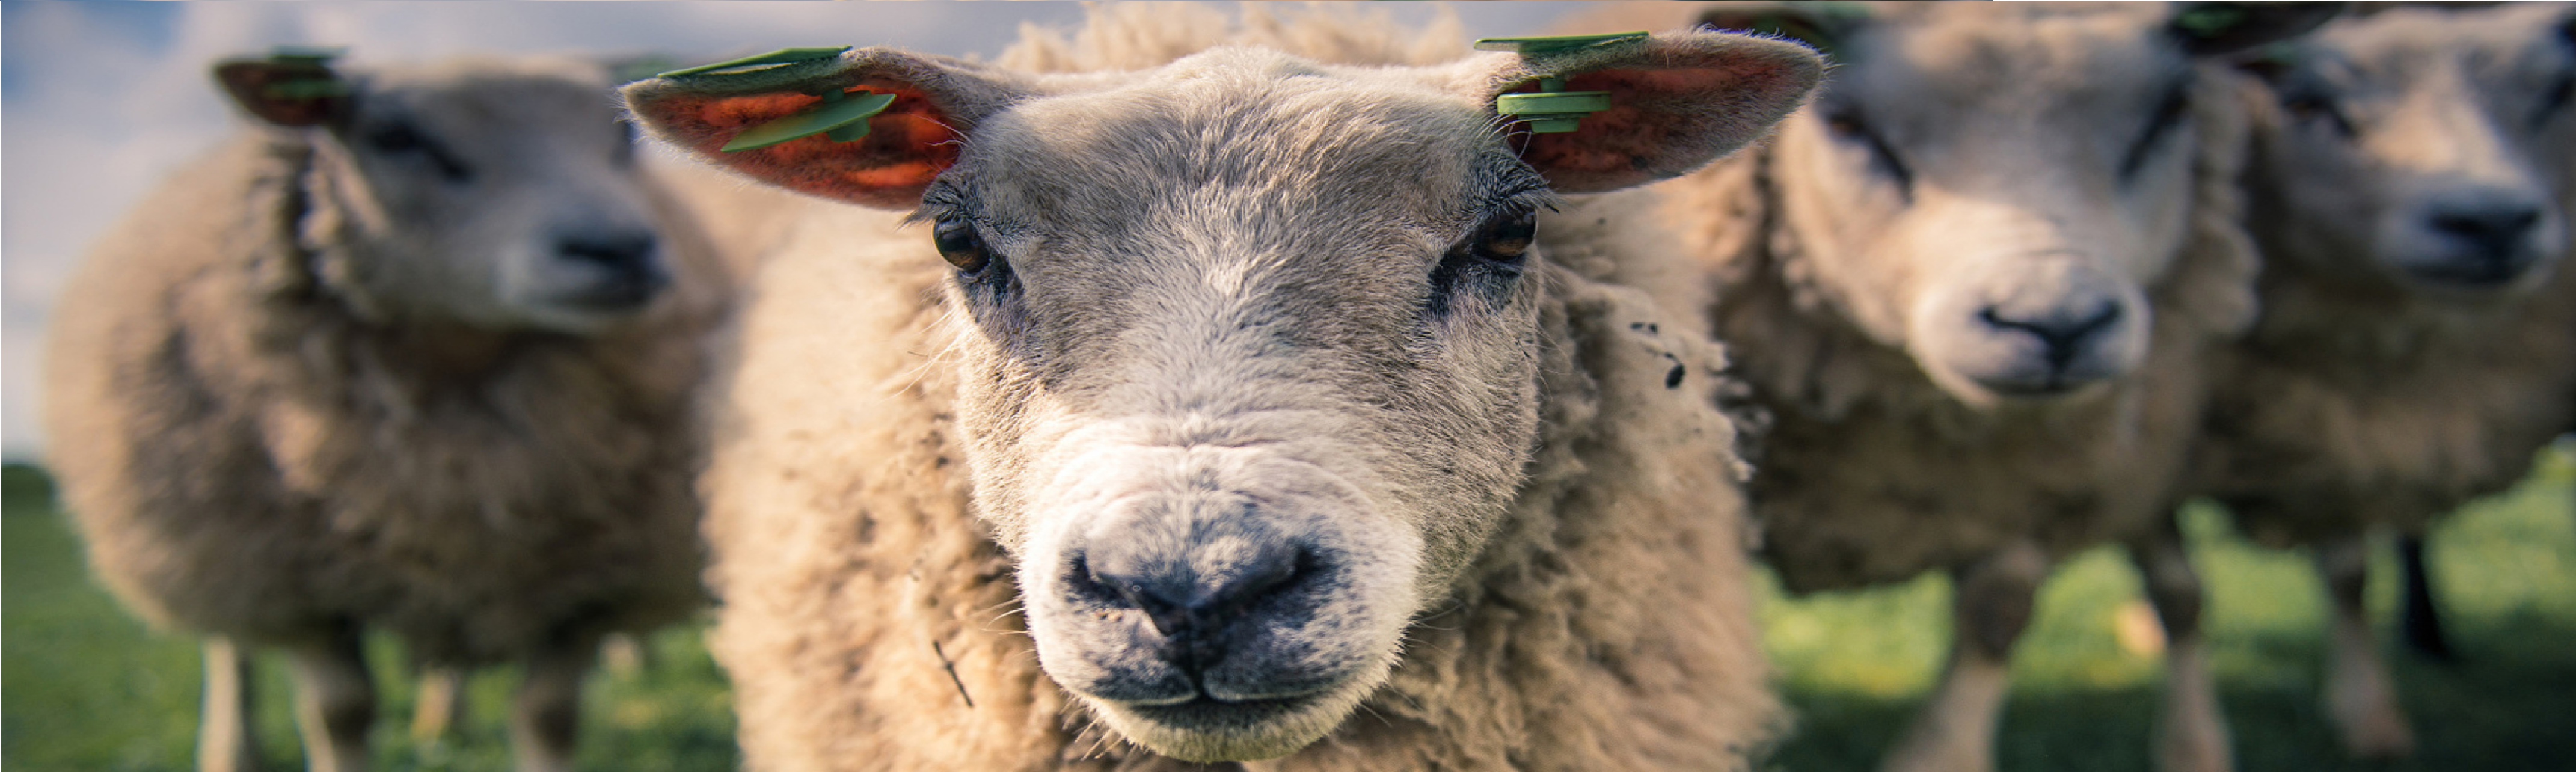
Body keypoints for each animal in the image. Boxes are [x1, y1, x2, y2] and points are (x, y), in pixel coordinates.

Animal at [40, 54, 727, 772]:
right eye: (394, 136)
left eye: (619, 139)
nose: (619, 250)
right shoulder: (302, 589)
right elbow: (341, 712)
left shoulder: (585, 587)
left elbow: (548, 716)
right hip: (207, 535)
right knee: (233, 648)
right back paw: (234, 748)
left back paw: (441, 721)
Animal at [1580, 3, 2336, 771]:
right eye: (1846, 122)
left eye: (2171, 112)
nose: (2056, 324)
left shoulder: (2038, 467)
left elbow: (1999, 607)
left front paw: (1940, 754)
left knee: (2179, 590)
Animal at [2187, 3, 2576, 759]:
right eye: (2307, 103)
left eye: (2549, 94)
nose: (2493, 221)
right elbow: (2184, 594)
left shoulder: (2332, 433)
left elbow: (2350, 573)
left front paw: (2371, 721)